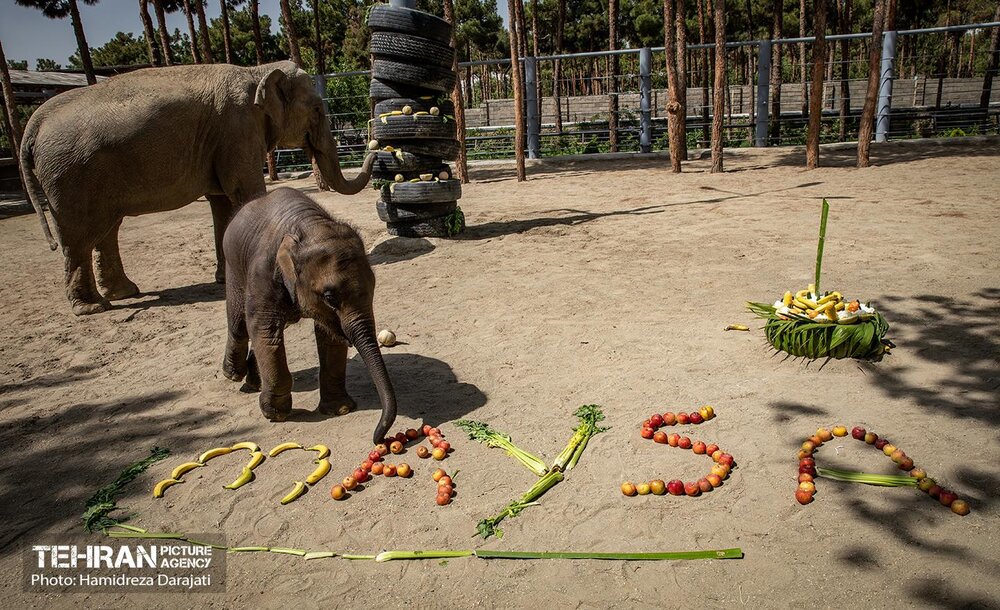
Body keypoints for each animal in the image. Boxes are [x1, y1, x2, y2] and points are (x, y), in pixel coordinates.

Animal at [21, 59, 376, 314]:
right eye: (316, 109)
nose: (373, 144)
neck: (257, 70)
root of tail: (34, 123)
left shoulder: (223, 140)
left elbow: (222, 203)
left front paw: (225, 278)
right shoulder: (237, 128)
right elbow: (244, 192)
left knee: (106, 230)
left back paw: (123, 292)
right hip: (70, 178)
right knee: (79, 237)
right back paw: (93, 307)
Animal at [225, 186, 396, 442]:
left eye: (374, 286)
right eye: (330, 297)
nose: (379, 438)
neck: (310, 224)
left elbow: (329, 335)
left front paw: (340, 409)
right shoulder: (263, 273)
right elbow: (265, 331)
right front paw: (275, 414)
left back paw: (253, 382)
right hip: (234, 267)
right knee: (239, 323)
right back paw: (233, 375)